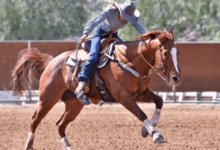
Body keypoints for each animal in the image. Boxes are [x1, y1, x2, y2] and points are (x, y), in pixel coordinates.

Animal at [11, 29, 181, 149]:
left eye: (177, 52)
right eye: (166, 53)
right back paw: (29, 145)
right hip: (47, 98)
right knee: (35, 120)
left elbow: (159, 101)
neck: (129, 61)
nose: (176, 78)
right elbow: (140, 113)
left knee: (60, 125)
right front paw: (155, 134)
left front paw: (148, 128)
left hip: (74, 105)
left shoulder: (140, 93)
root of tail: (52, 62)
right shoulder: (123, 96)